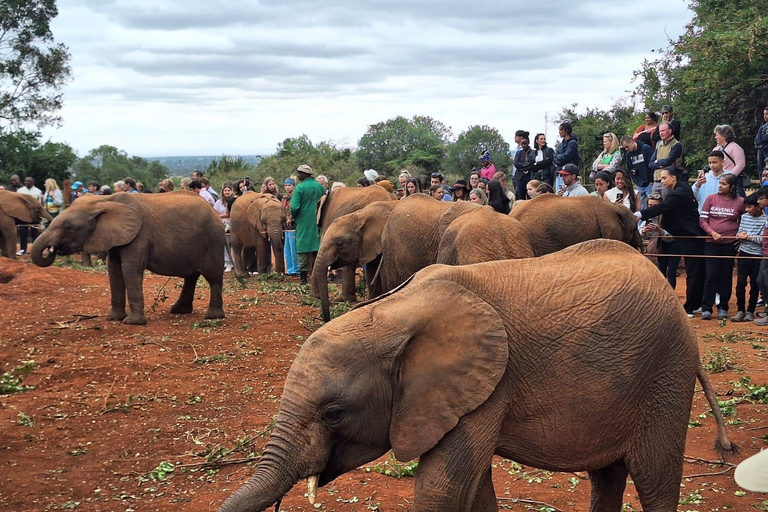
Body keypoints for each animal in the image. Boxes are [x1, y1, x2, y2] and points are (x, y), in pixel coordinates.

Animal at [33, 192, 225, 324]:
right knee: (191, 276)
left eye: (68, 227)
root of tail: (214, 211)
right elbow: (114, 270)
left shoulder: (138, 236)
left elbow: (130, 269)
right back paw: (179, 311)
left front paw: (133, 323)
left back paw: (213, 317)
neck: (103, 201)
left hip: (213, 239)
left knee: (213, 277)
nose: (51, 249)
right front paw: (114, 319)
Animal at [219, 239, 736, 512]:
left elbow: (441, 487)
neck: (393, 312)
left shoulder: (486, 387)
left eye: (332, 413)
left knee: (655, 477)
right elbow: (472, 485)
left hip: (666, 374)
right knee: (607, 476)